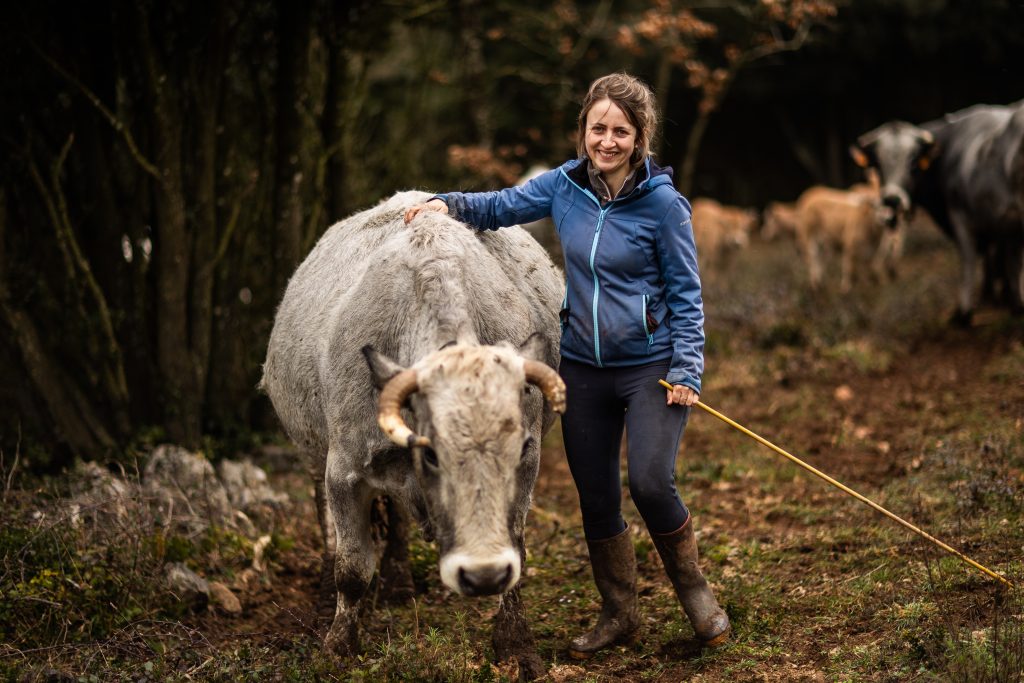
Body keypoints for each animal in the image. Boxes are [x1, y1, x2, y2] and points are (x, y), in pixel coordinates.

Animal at [261, 190, 566, 678]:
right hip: (311, 451)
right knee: (327, 525)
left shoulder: (530, 469)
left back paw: (400, 580)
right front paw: (338, 645)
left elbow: (516, 549)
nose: (482, 574)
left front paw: (516, 644)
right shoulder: (343, 471)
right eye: (433, 454)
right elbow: (352, 567)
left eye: (516, 449)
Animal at [851, 100, 1024, 323]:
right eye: (878, 163)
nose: (892, 200)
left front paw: (964, 314)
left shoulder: (960, 217)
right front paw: (1009, 302)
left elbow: (968, 261)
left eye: (913, 161)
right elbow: (1007, 262)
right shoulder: (1004, 227)